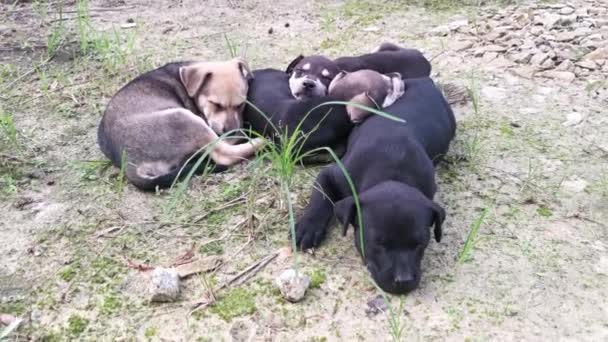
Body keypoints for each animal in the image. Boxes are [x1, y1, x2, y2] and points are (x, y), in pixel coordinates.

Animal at [97, 59, 264, 192]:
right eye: (216, 105)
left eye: (241, 105)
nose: (232, 130)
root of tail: (130, 165)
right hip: (185, 118)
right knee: (224, 153)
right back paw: (259, 141)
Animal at [294, 77, 456, 294]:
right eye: (377, 244)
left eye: (420, 243)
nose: (403, 281)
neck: (391, 171)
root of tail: (426, 80)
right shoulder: (332, 174)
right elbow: (320, 198)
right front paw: (308, 227)